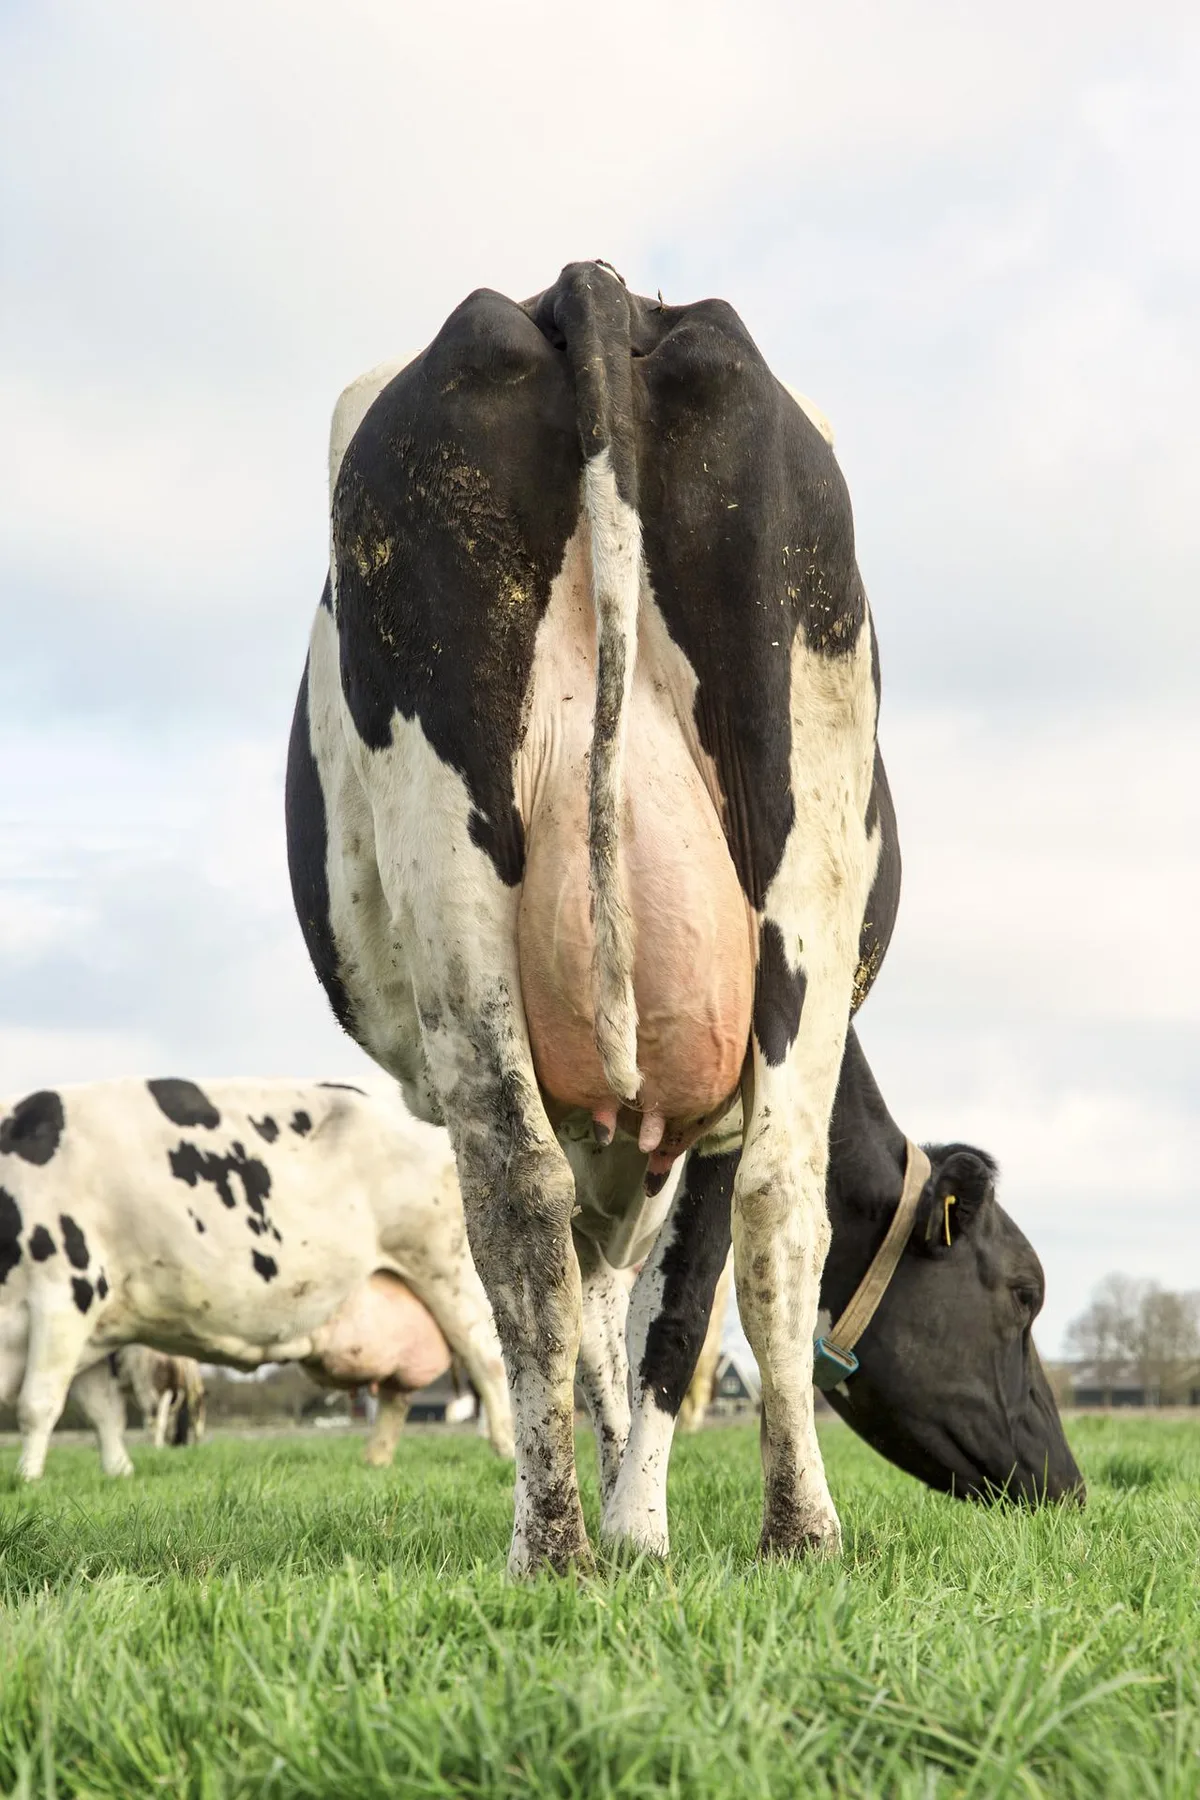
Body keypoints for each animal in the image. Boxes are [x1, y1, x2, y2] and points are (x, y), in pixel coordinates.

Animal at [0, 1078, 512, 1479]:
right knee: (397, 1390)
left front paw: (27, 1479)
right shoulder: (91, 1327)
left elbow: (37, 1404)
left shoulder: (66, 1294)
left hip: (449, 1271)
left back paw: (506, 1450)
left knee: (489, 1362)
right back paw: (376, 1460)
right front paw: (118, 1471)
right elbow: (101, 1410)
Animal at [286, 261, 1079, 1572]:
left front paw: (625, 1519)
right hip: (777, 901)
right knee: (765, 1205)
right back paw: (785, 1529)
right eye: (1021, 1293)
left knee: (526, 1197)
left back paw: (559, 1545)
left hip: (458, 852)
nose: (1066, 1485)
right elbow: (657, 1313)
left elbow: (613, 1316)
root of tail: (593, 287)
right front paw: (642, 1523)